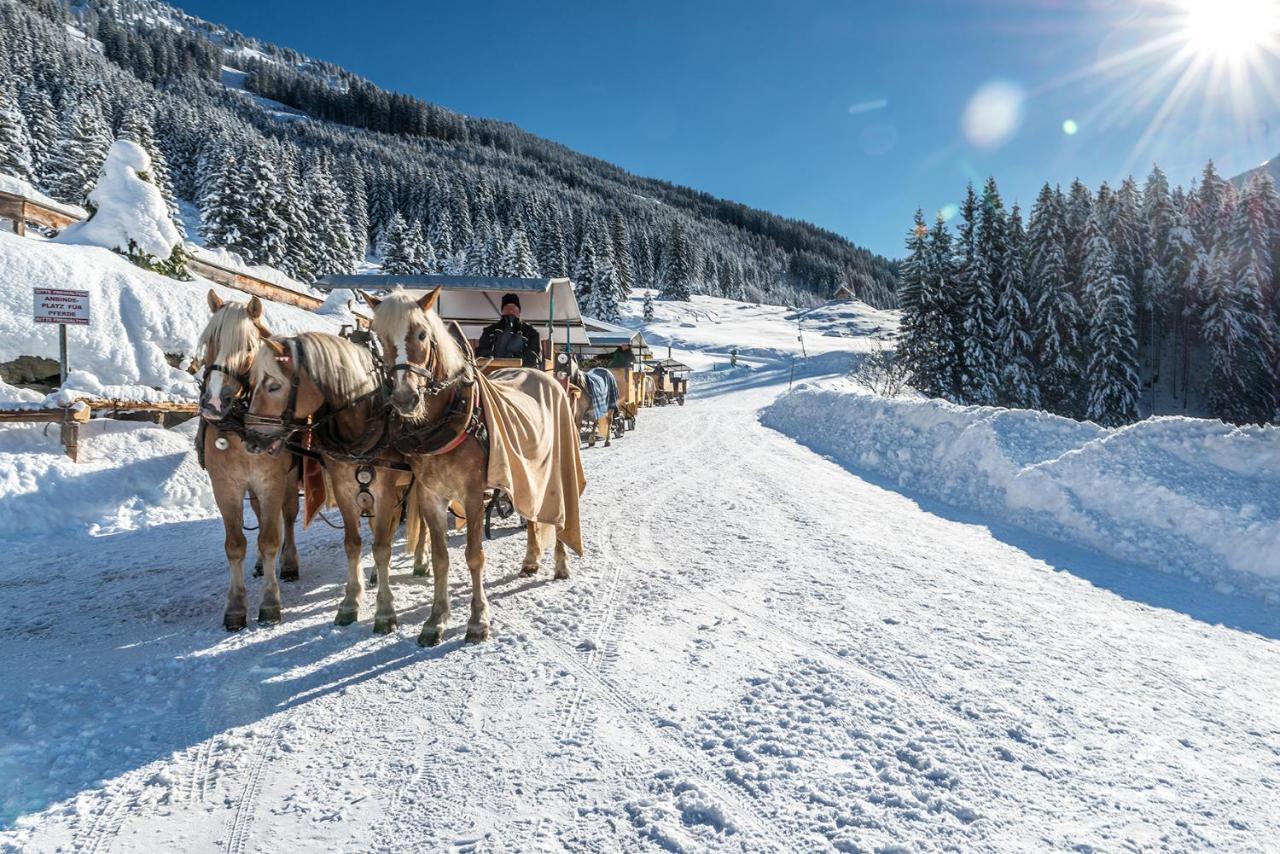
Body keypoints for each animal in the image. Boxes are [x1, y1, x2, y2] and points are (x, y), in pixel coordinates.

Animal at [195, 290, 586, 645]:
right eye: (379, 340)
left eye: (273, 383)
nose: (252, 437)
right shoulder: (386, 489)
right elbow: (371, 546)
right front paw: (376, 608)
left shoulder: (461, 494)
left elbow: (461, 555)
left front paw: (466, 620)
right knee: (530, 512)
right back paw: (522, 560)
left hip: (553, 470)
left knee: (555, 514)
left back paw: (558, 563)